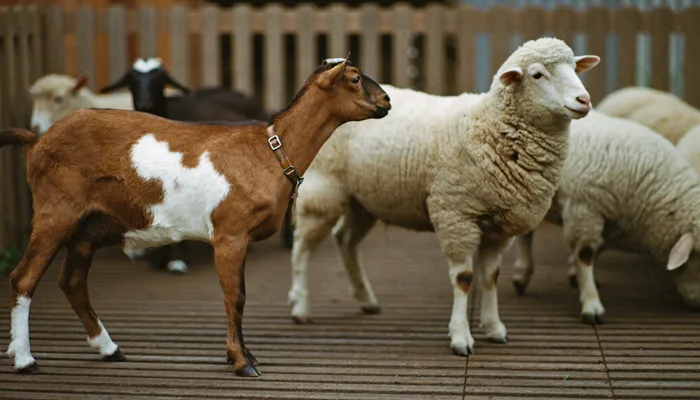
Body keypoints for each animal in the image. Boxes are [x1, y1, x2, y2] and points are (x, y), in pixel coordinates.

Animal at [287, 38, 600, 356]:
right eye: (537, 75)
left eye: (575, 68)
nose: (584, 100)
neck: (488, 124)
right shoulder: (455, 214)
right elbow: (464, 279)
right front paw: (461, 336)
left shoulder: (499, 226)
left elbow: (491, 276)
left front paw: (494, 327)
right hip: (324, 190)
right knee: (302, 247)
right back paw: (300, 307)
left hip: (364, 200)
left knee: (345, 240)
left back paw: (366, 299)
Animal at [510, 110, 700, 324]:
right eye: (699, 257)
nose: (698, 306)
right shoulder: (584, 209)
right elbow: (585, 254)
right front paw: (591, 305)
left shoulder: (613, 221)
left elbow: (599, 247)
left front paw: (574, 274)